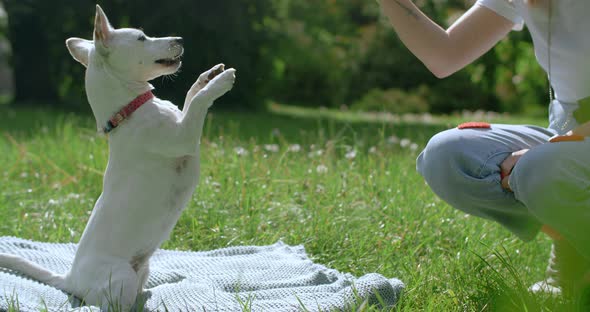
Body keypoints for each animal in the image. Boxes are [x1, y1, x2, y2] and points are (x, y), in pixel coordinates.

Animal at [0, 4, 235, 310]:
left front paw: (209, 75)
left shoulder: (182, 124)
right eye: (141, 38)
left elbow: (190, 95)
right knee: (111, 303)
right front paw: (220, 82)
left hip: (142, 268)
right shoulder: (184, 136)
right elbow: (198, 102)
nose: (180, 39)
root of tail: (70, 279)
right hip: (121, 277)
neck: (130, 110)